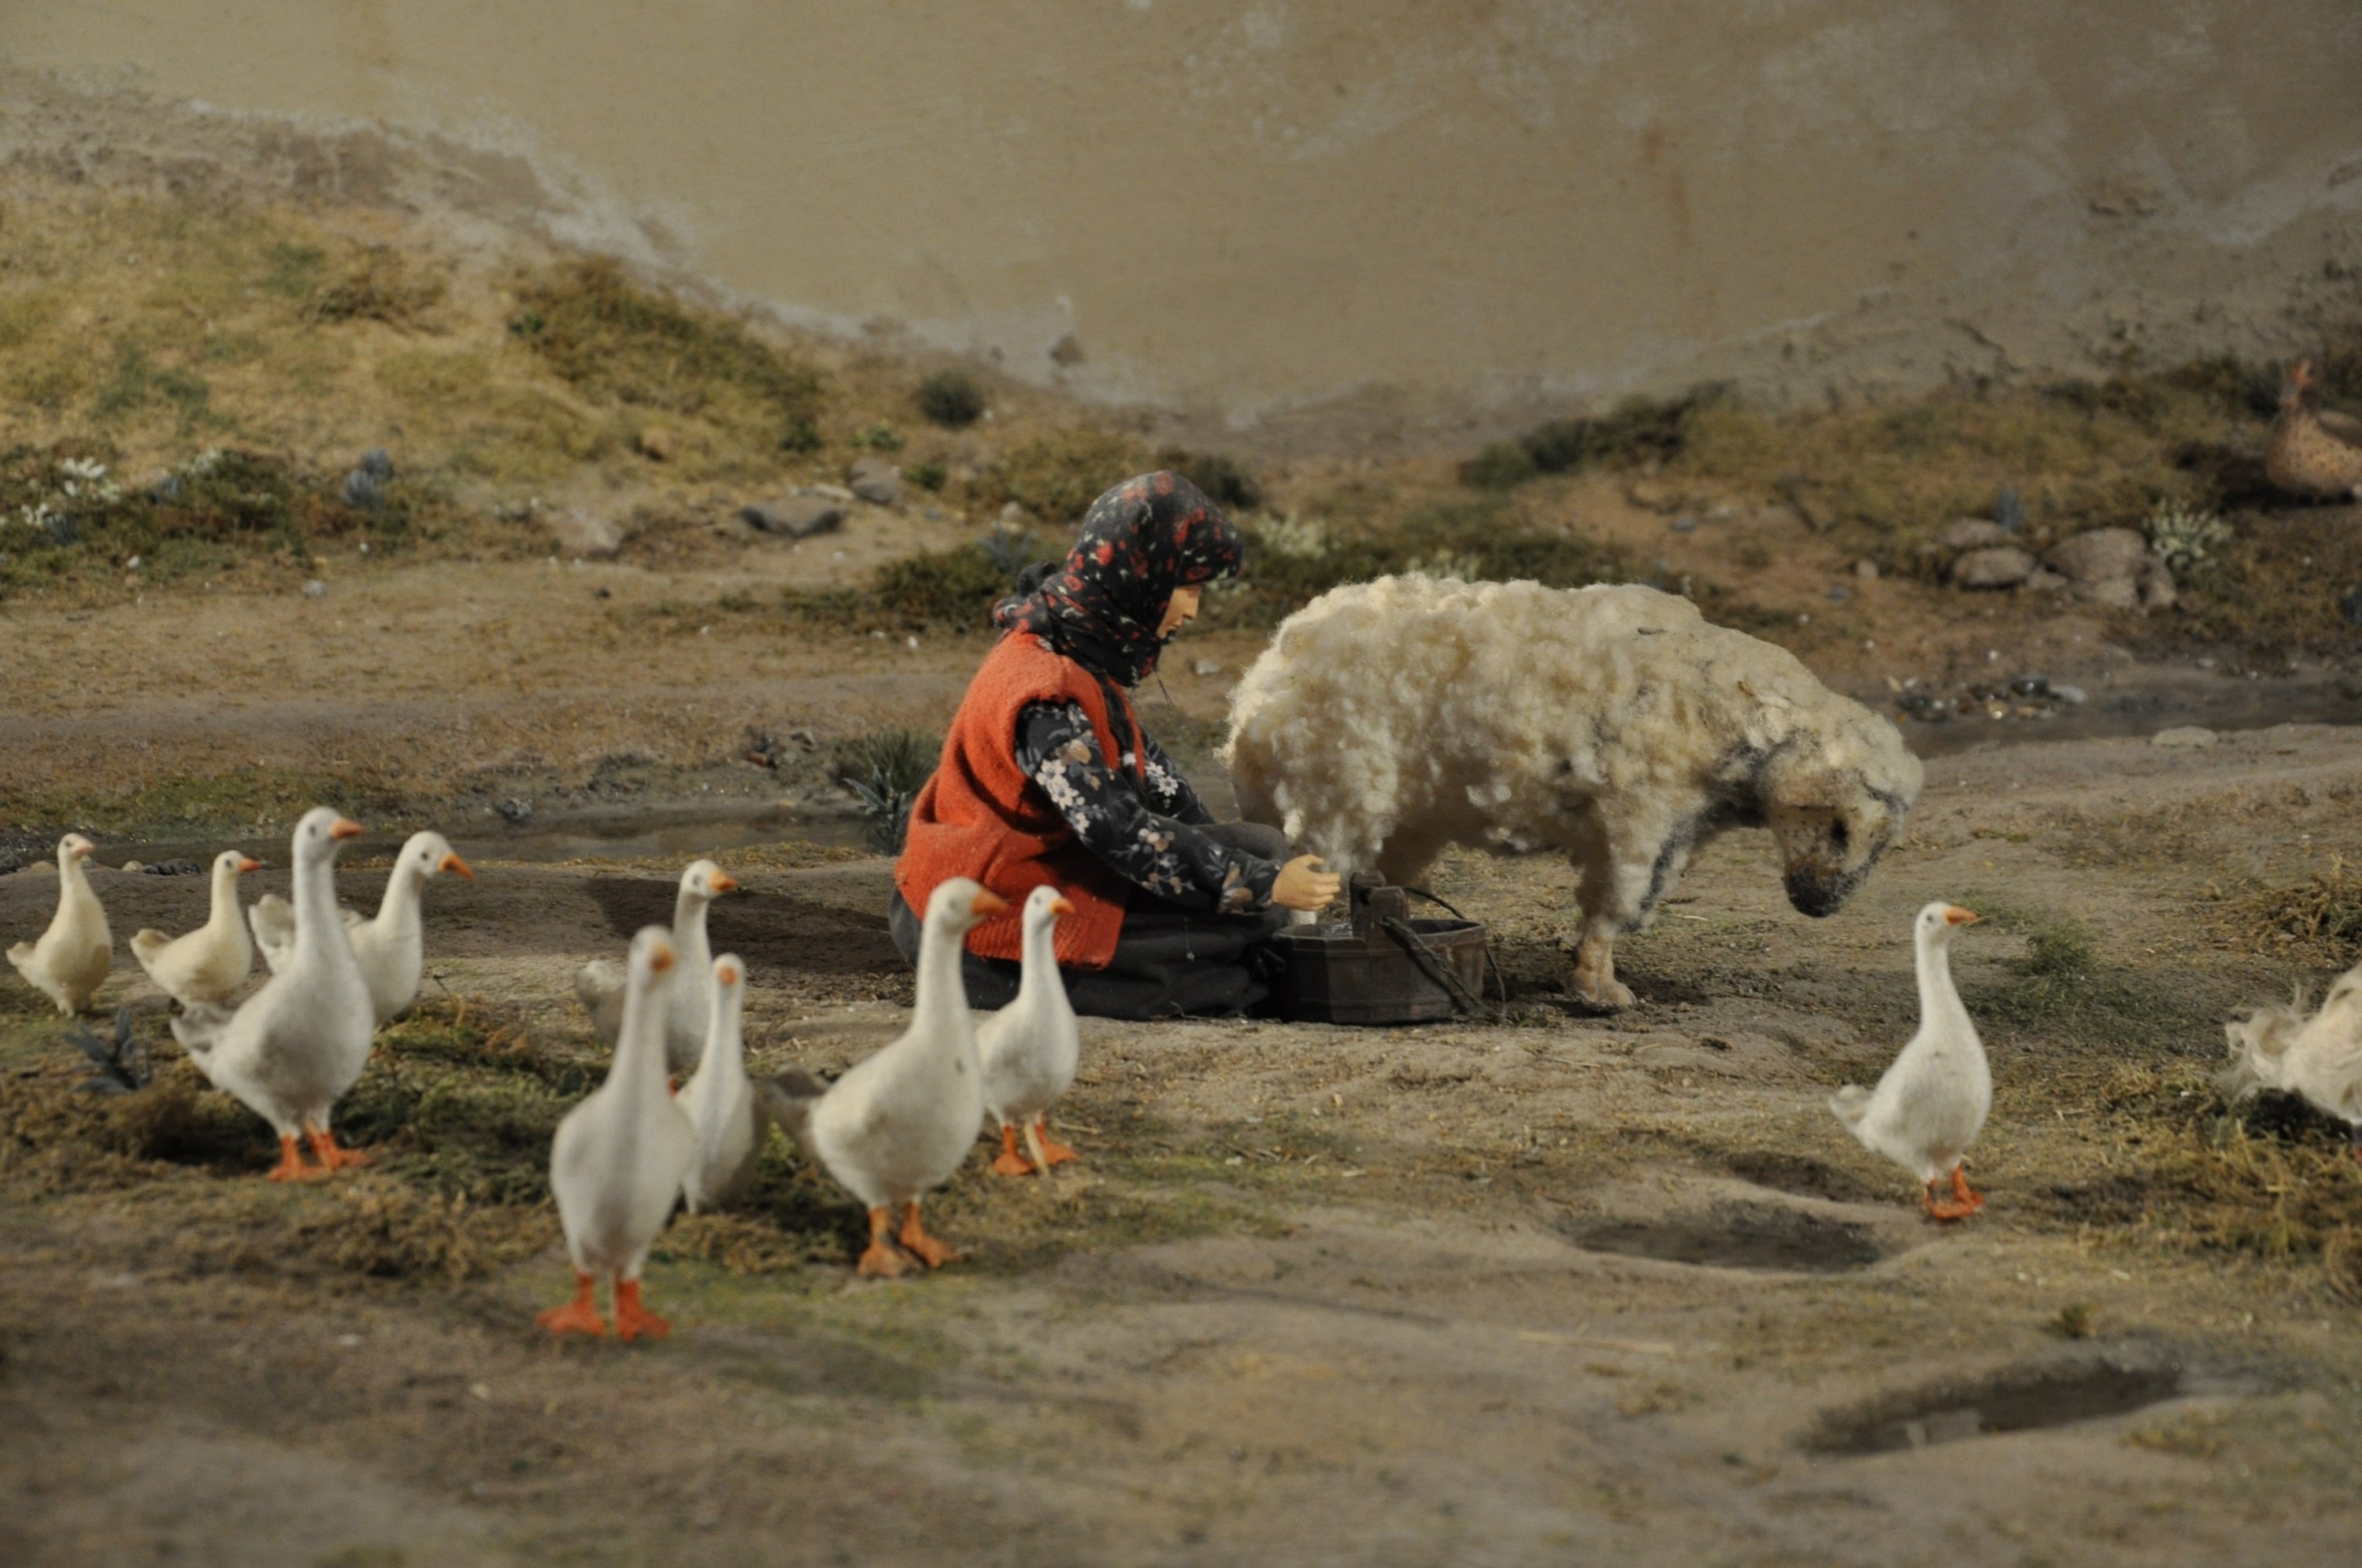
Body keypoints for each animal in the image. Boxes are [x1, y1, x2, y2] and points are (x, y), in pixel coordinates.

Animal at [1228, 576, 1927, 1006]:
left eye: (1882, 844)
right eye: (1838, 825)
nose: (1821, 904)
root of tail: (1263, 681)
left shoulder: (1675, 825)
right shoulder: (1640, 813)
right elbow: (1620, 899)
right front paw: (1601, 989)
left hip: (1402, 813)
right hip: (1332, 791)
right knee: (1312, 875)